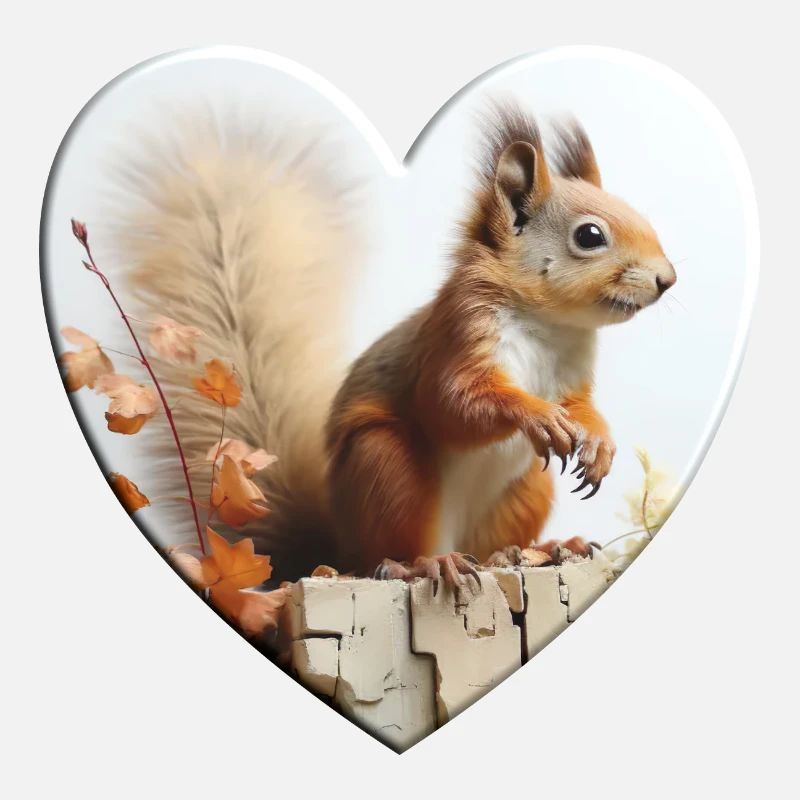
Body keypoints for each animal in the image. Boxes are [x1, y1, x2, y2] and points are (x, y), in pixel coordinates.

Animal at [118, 102, 676, 586]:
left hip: (525, 490)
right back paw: (425, 565)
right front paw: (536, 415)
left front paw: (598, 443)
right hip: (385, 468)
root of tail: (336, 552)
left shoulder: (573, 373)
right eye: (589, 236)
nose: (667, 280)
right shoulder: (458, 335)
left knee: (492, 545)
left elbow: (582, 407)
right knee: (389, 552)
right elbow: (452, 403)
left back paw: (540, 549)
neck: (549, 325)